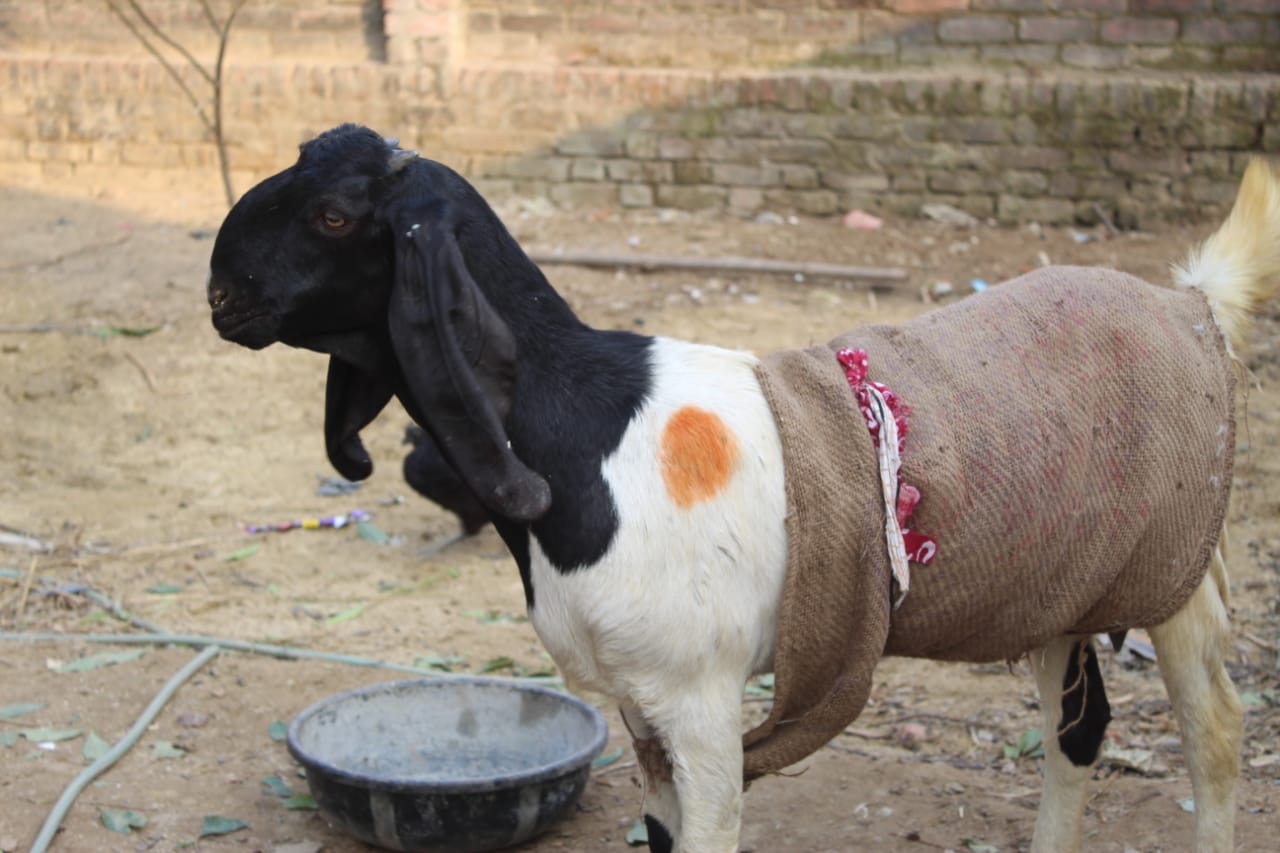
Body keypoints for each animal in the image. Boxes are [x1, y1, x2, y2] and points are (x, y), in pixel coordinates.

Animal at [208, 124, 1280, 852]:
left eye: (335, 215)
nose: (221, 297)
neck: (581, 427)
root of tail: (1192, 302)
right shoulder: (640, 706)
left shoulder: (701, 697)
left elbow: (712, 831)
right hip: (1063, 582)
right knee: (1078, 730)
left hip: (1176, 574)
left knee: (1216, 731)